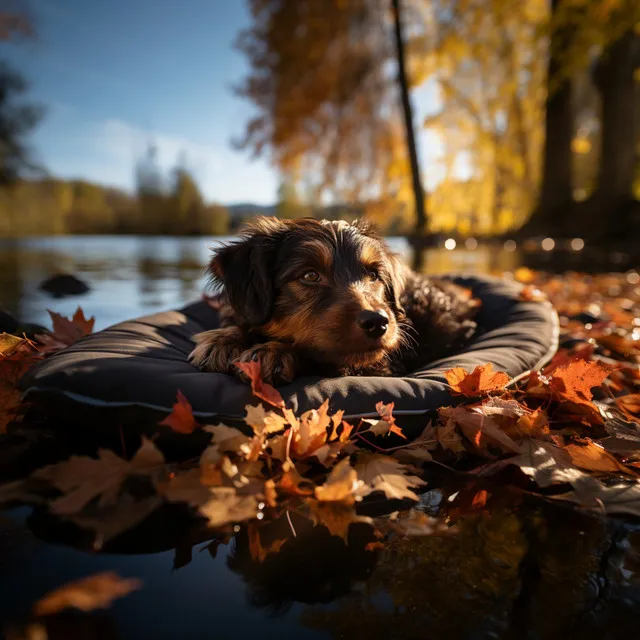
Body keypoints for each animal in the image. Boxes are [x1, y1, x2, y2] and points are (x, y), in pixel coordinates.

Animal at [190, 218, 480, 382]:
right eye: (310, 275)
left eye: (373, 274)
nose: (378, 322)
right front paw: (222, 340)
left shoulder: (379, 366)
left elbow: (319, 355)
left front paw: (273, 351)